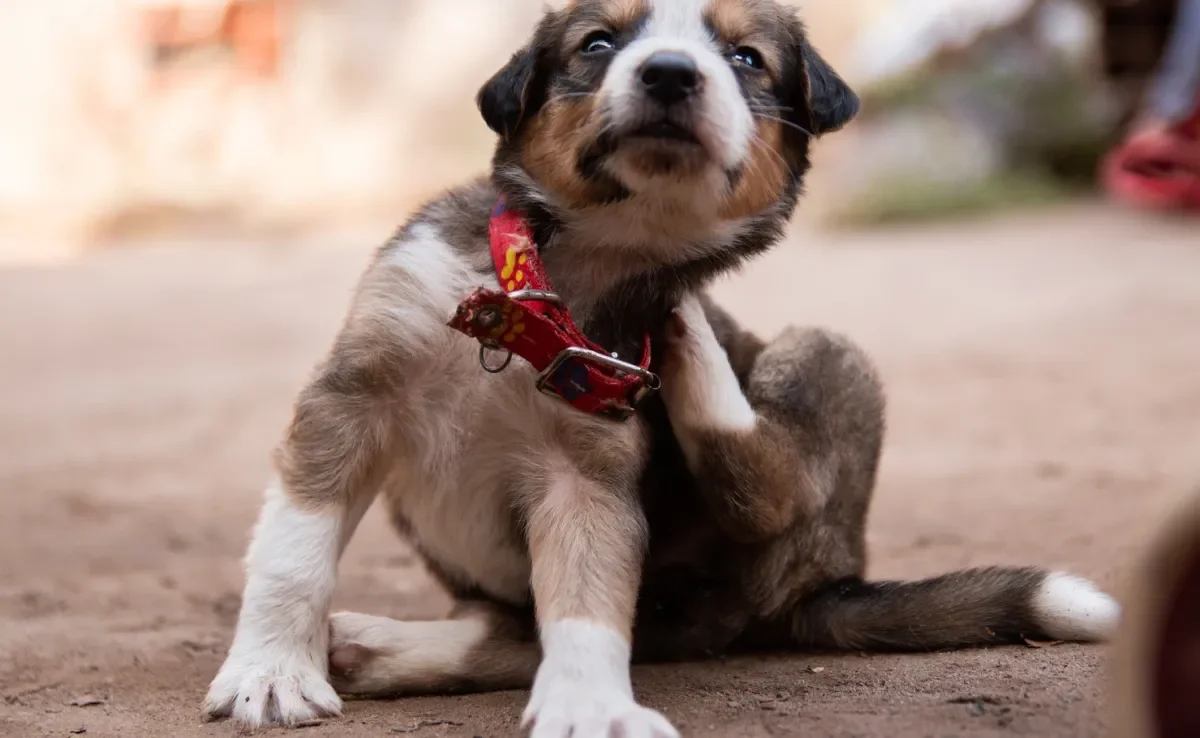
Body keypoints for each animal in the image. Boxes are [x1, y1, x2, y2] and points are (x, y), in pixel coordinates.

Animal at [201, 2, 1118, 734]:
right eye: (598, 42)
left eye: (746, 57)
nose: (672, 74)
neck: (558, 286)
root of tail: (828, 581)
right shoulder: (353, 393)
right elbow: (294, 550)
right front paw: (272, 674)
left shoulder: (590, 465)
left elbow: (586, 600)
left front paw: (587, 706)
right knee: (529, 625)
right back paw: (377, 646)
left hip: (825, 361)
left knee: (758, 491)